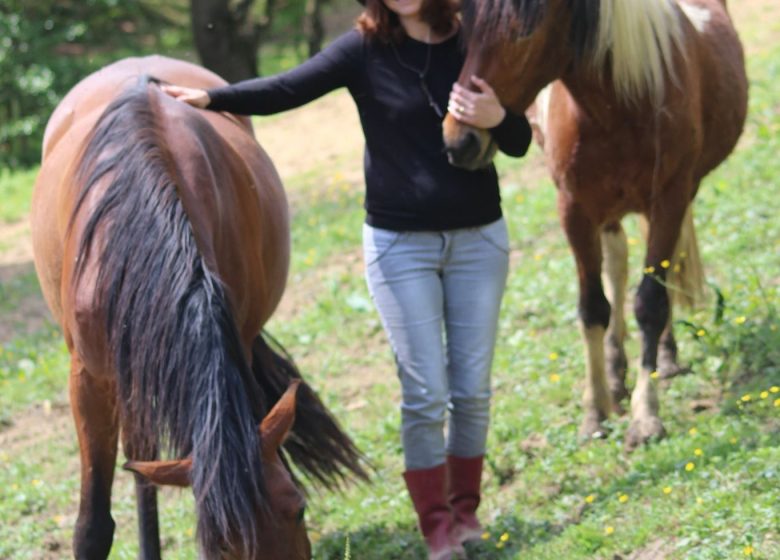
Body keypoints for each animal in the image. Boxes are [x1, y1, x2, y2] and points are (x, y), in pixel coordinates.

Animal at [443, 0, 747, 448]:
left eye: (524, 34)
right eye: (464, 32)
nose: (459, 141)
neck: (617, 102)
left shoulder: (669, 198)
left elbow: (650, 302)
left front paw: (646, 414)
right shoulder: (575, 210)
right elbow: (592, 308)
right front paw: (595, 410)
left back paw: (664, 358)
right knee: (617, 266)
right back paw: (616, 372)